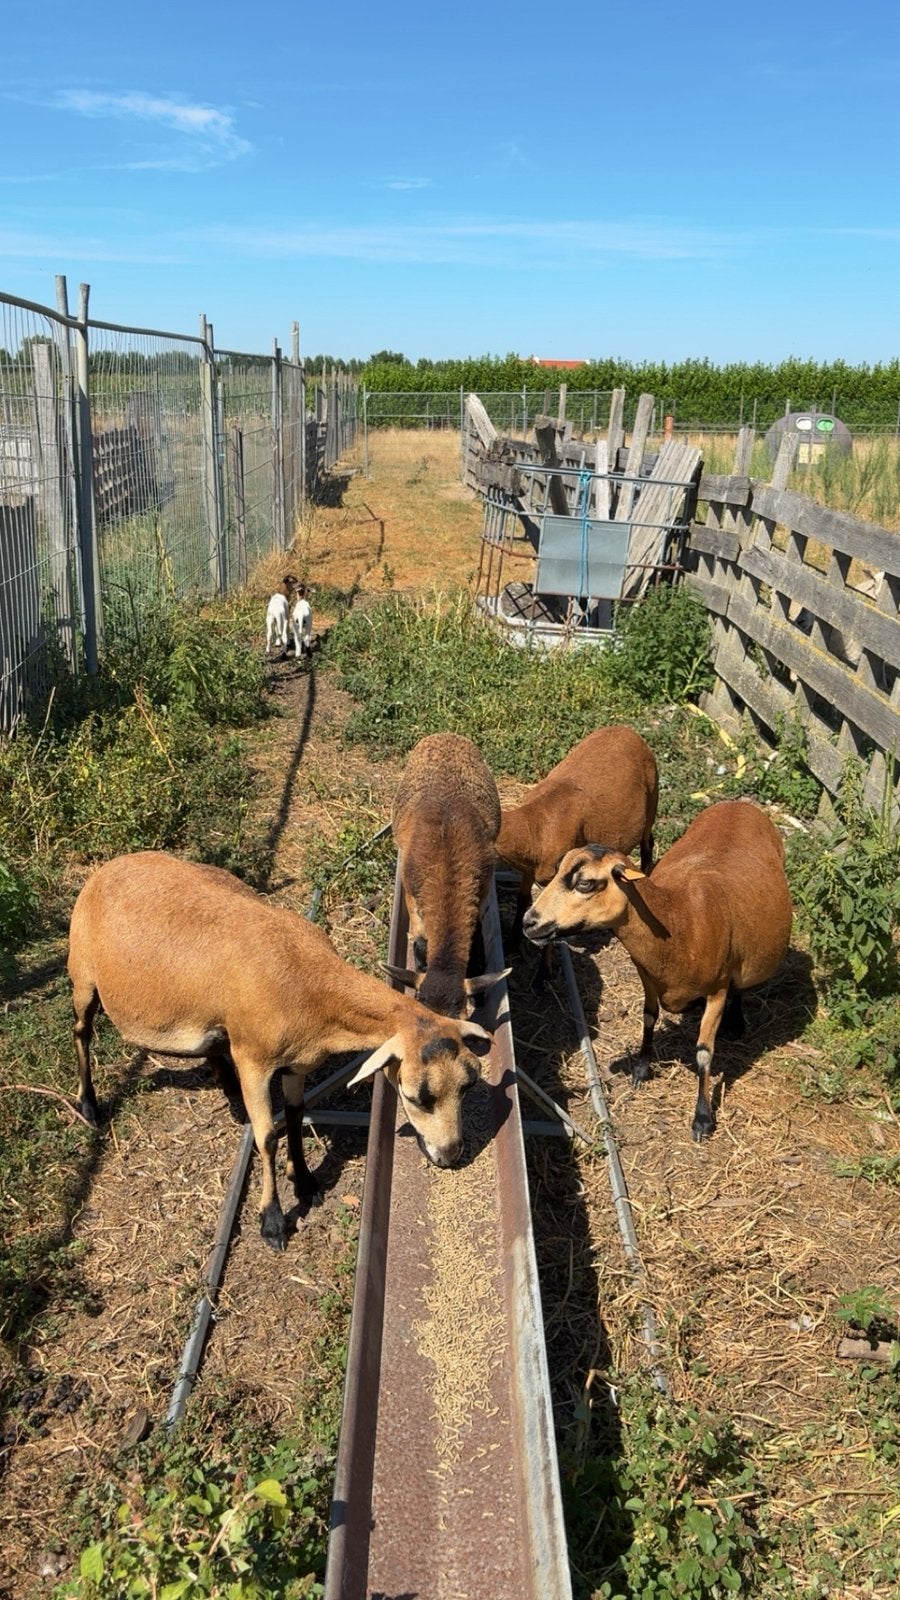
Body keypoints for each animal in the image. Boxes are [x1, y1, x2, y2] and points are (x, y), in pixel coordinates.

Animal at [67, 852, 492, 1251]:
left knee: (212, 1047)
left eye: (468, 1085)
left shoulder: (297, 1063)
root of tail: (110, 866)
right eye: (414, 1096)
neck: (310, 982)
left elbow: (294, 1114)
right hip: (83, 973)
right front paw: (271, 1223)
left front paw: (305, 1182)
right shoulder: (254, 1061)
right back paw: (89, 1105)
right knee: (81, 1030)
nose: (450, 1155)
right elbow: (268, 1136)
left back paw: (230, 1096)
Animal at [495, 725, 659, 949]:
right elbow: (522, 900)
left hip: (652, 800)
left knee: (647, 845)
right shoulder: (529, 870)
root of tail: (628, 730)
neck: (535, 826)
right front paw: (512, 943)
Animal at [523, 799, 792, 1141]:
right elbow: (649, 1017)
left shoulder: (717, 989)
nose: (529, 922)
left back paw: (735, 1022)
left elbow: (704, 1053)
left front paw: (702, 1119)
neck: (681, 922)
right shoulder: (648, 977)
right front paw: (641, 1069)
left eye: (585, 883)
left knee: (739, 988)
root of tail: (740, 803)